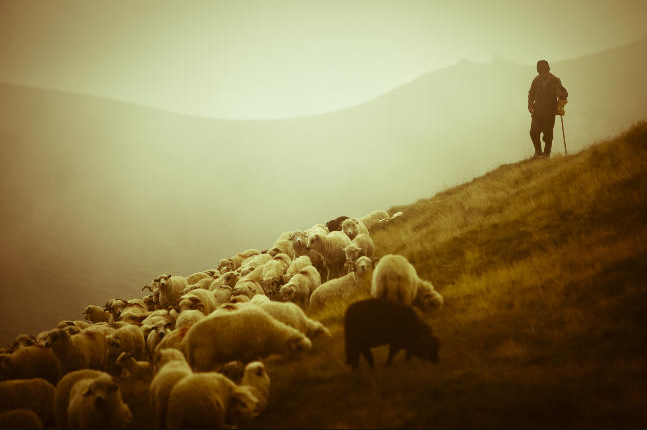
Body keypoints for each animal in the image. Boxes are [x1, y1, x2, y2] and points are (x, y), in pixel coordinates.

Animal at [182, 304, 314, 372]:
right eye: (300, 348)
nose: (304, 365)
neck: (271, 334)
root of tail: (189, 339)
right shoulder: (248, 353)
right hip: (205, 360)